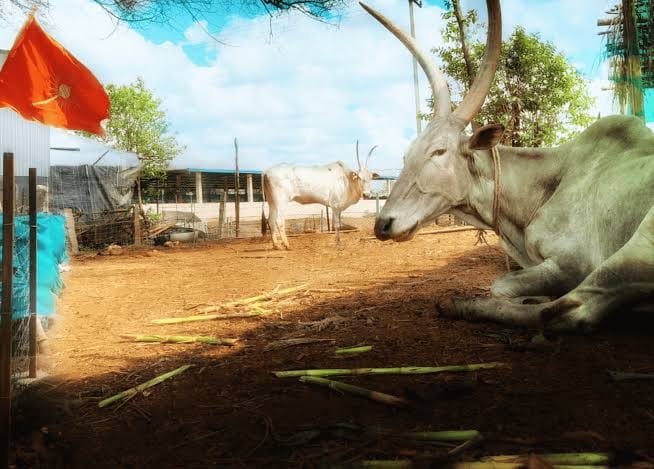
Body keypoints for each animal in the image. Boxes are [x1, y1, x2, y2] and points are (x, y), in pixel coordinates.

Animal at [362, 0, 654, 333]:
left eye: (439, 151)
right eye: (408, 153)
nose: (383, 225)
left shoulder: (573, 263)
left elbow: (500, 286)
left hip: (636, 248)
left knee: (569, 312)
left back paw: (461, 305)